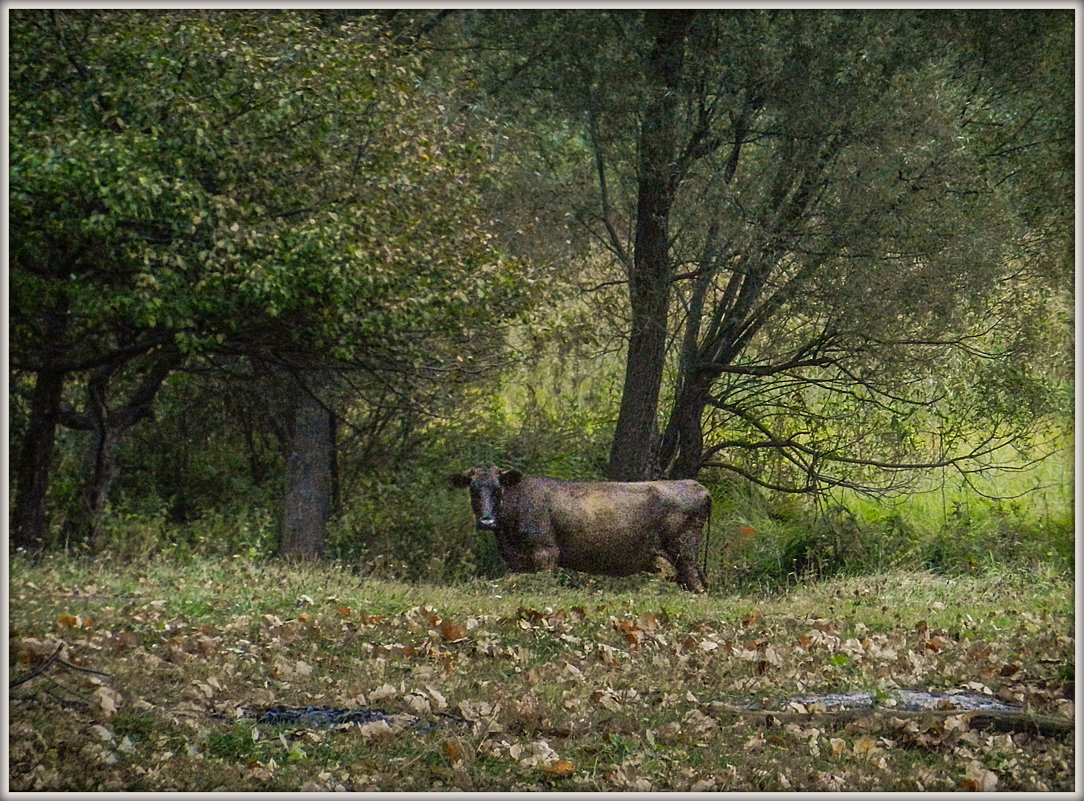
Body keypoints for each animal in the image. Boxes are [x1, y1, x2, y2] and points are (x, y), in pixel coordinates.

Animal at [448, 466, 711, 593]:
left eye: (498, 489)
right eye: (473, 490)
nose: (486, 521)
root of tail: (699, 487)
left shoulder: (546, 553)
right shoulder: (517, 561)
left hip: (684, 553)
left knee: (698, 587)